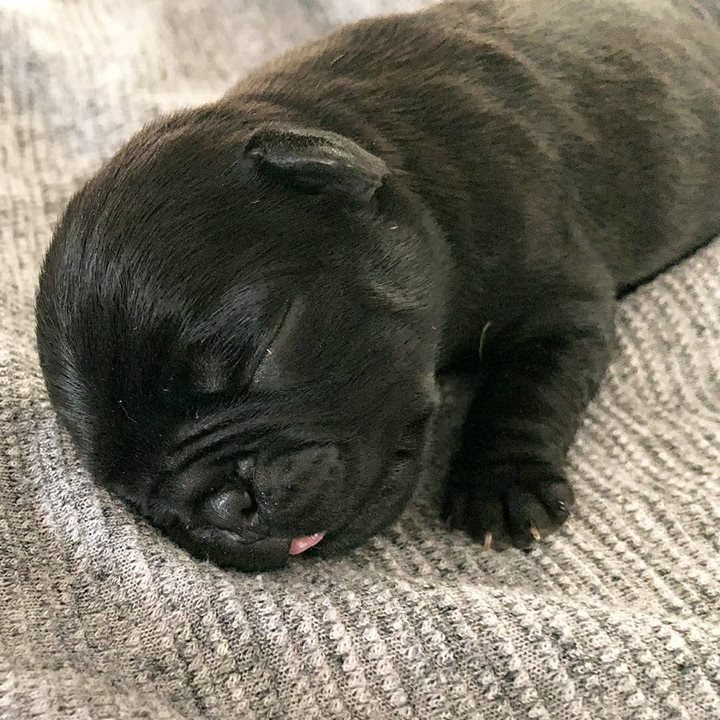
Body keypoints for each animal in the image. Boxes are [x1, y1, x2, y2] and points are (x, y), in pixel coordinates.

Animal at [35, 1, 720, 572]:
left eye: (261, 350)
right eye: (138, 501)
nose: (225, 505)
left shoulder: (562, 302)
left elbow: (529, 388)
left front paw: (503, 485)